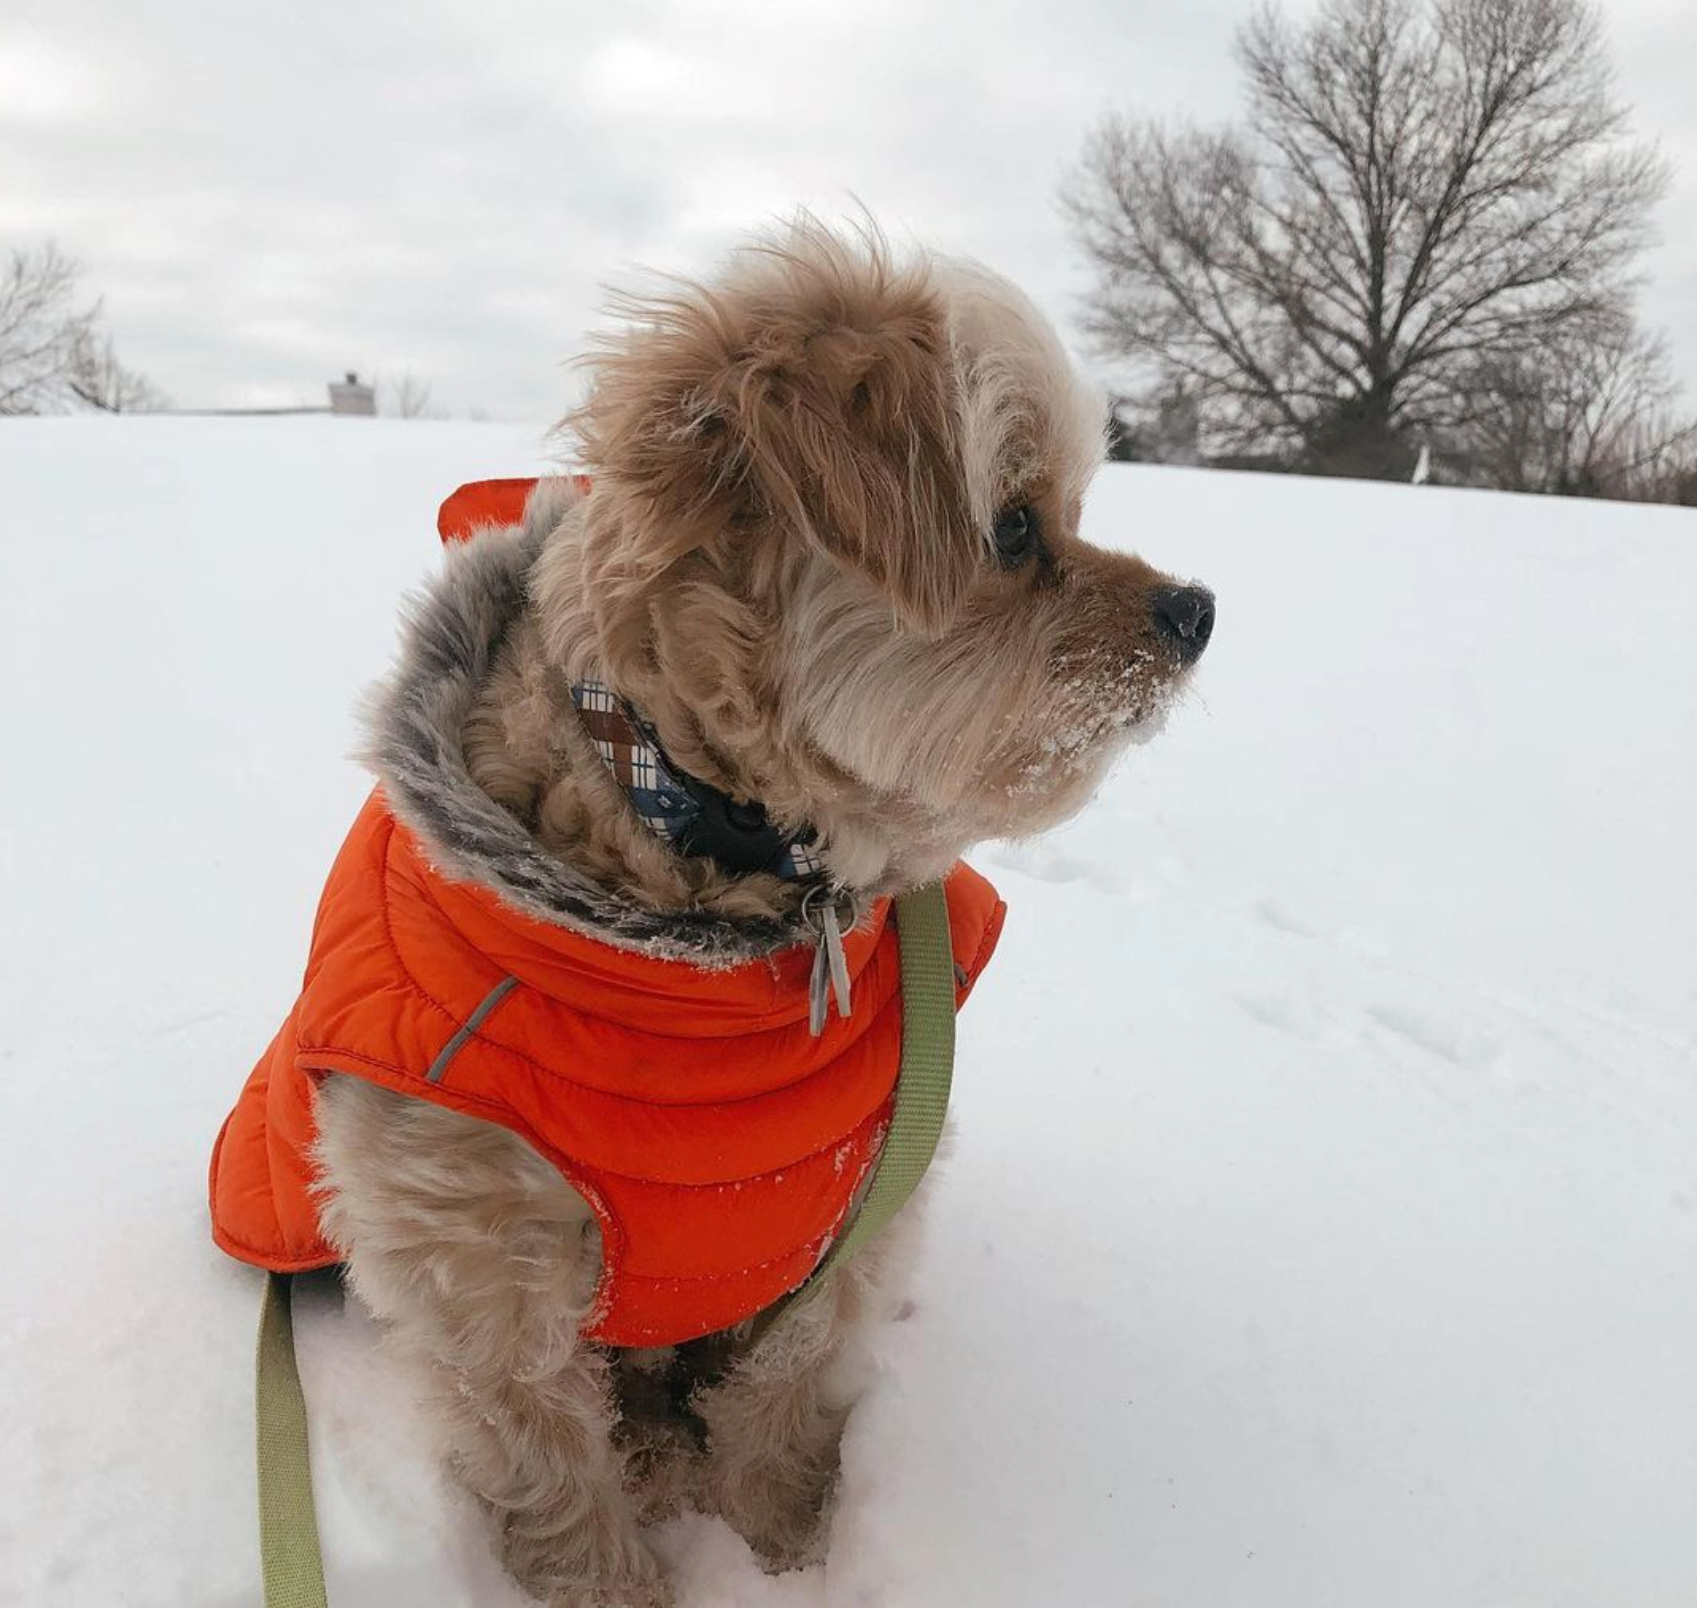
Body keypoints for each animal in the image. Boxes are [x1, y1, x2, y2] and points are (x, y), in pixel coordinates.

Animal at [218, 220, 1215, 1601]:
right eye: (1014, 529)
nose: (1199, 611)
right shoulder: (476, 1264)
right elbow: (550, 1468)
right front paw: (616, 1581)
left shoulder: (848, 1222)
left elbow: (781, 1406)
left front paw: (786, 1553)